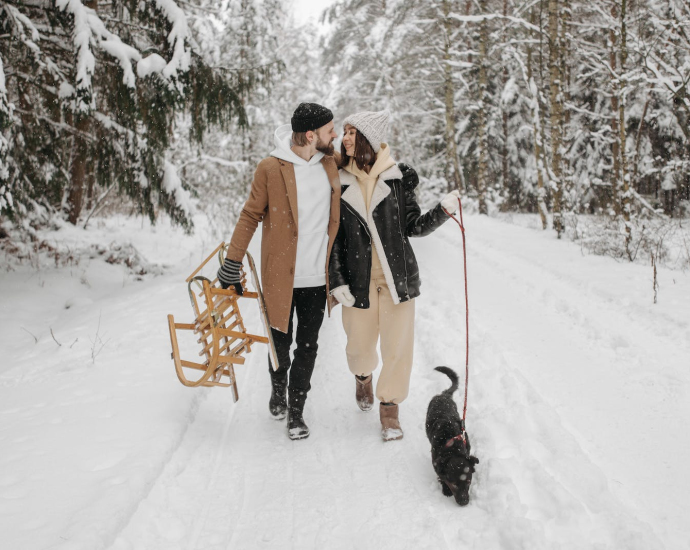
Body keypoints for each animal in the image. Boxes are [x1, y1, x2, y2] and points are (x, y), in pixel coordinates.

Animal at [422, 368, 476, 506]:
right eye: (454, 484)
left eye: (468, 482)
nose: (464, 502)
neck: (453, 448)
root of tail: (444, 395)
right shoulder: (436, 463)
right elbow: (441, 477)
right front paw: (446, 490)